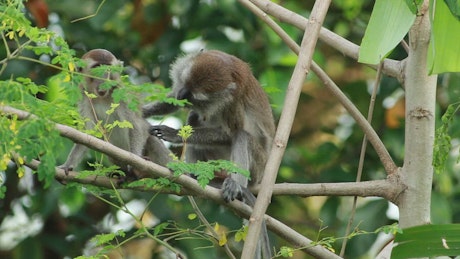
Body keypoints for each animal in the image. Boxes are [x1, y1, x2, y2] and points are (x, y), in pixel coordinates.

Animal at [59, 48, 171, 179]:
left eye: (108, 69)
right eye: (97, 67)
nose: (104, 78)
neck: (102, 97)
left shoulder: (122, 95)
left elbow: (136, 126)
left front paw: (136, 159)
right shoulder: (84, 98)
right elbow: (89, 133)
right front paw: (68, 164)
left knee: (151, 138)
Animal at [142, 49, 274, 258]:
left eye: (195, 95)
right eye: (185, 83)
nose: (182, 94)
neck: (229, 67)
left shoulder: (233, 102)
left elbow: (230, 133)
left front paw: (173, 134)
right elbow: (172, 102)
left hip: (257, 167)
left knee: (241, 136)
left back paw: (235, 186)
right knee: (194, 117)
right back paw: (193, 176)